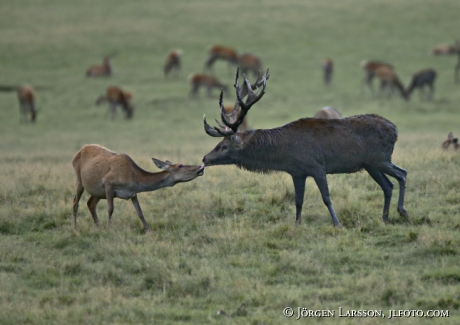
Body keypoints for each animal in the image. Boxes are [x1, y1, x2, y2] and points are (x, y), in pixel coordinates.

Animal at [72, 144, 205, 230]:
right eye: (180, 165)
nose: (201, 168)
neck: (132, 179)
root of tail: (78, 152)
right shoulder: (108, 183)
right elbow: (110, 209)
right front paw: (109, 229)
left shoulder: (133, 193)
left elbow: (140, 212)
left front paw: (148, 230)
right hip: (79, 179)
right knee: (75, 202)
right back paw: (75, 228)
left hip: (98, 192)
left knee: (90, 203)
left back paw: (98, 227)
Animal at [203, 67, 408, 227]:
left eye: (223, 146)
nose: (205, 158)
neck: (285, 153)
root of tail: (395, 129)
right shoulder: (297, 172)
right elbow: (298, 201)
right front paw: (297, 224)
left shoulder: (317, 166)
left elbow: (326, 198)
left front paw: (337, 223)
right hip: (370, 164)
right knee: (388, 185)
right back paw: (384, 218)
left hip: (380, 158)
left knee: (402, 173)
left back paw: (402, 211)